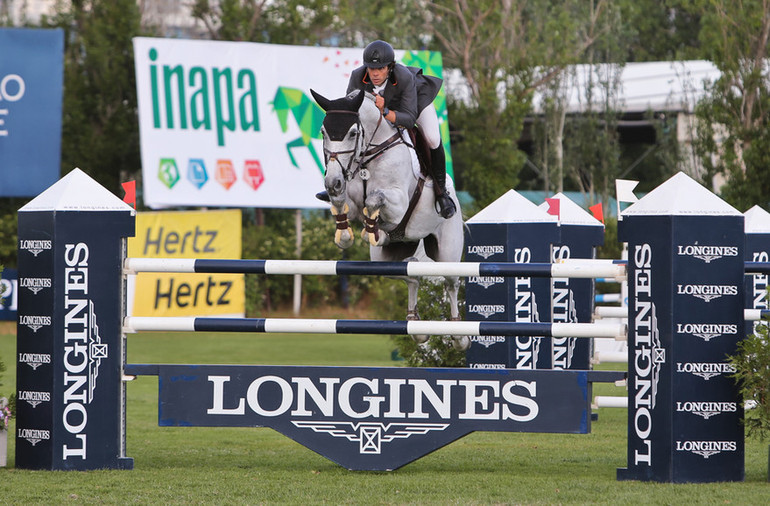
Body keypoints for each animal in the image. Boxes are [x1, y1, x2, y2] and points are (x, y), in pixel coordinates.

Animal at [310, 90, 468, 352]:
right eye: (323, 131)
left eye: (352, 133)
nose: (332, 182)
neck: (368, 155)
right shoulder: (350, 201)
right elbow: (343, 203)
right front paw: (346, 234)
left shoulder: (399, 203)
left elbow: (375, 198)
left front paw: (368, 230)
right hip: (388, 258)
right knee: (411, 274)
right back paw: (417, 326)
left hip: (447, 253)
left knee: (451, 283)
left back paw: (459, 335)